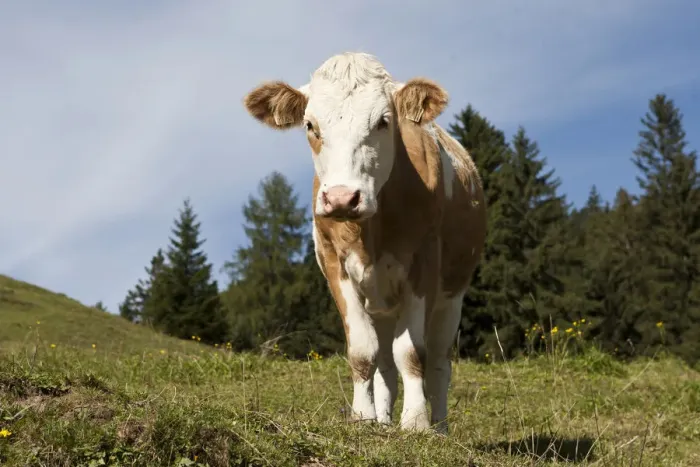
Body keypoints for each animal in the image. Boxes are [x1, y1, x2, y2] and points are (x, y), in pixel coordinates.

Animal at [242, 52, 486, 434]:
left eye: (384, 121)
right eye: (310, 125)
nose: (342, 198)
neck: (372, 231)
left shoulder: (424, 263)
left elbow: (412, 352)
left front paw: (416, 422)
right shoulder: (335, 266)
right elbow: (362, 351)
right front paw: (364, 417)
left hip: (452, 296)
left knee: (438, 363)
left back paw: (440, 427)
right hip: (381, 303)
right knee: (385, 362)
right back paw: (383, 421)